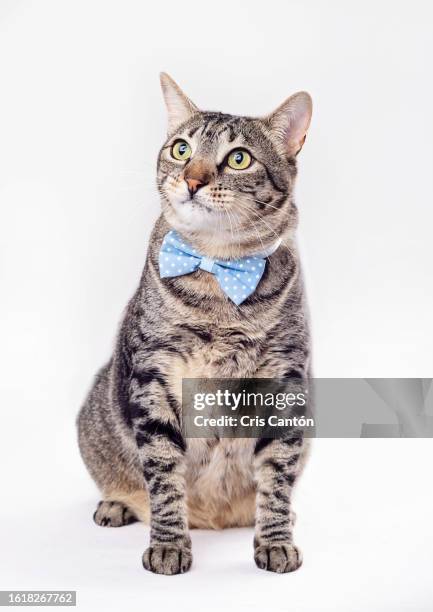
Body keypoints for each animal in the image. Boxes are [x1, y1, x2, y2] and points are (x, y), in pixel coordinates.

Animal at [77, 74, 312, 576]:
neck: (217, 268)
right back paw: (117, 504)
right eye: (181, 149)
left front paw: (277, 540)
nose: (192, 179)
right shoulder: (153, 377)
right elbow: (165, 478)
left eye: (239, 158)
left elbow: (277, 476)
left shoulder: (286, 382)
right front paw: (168, 545)